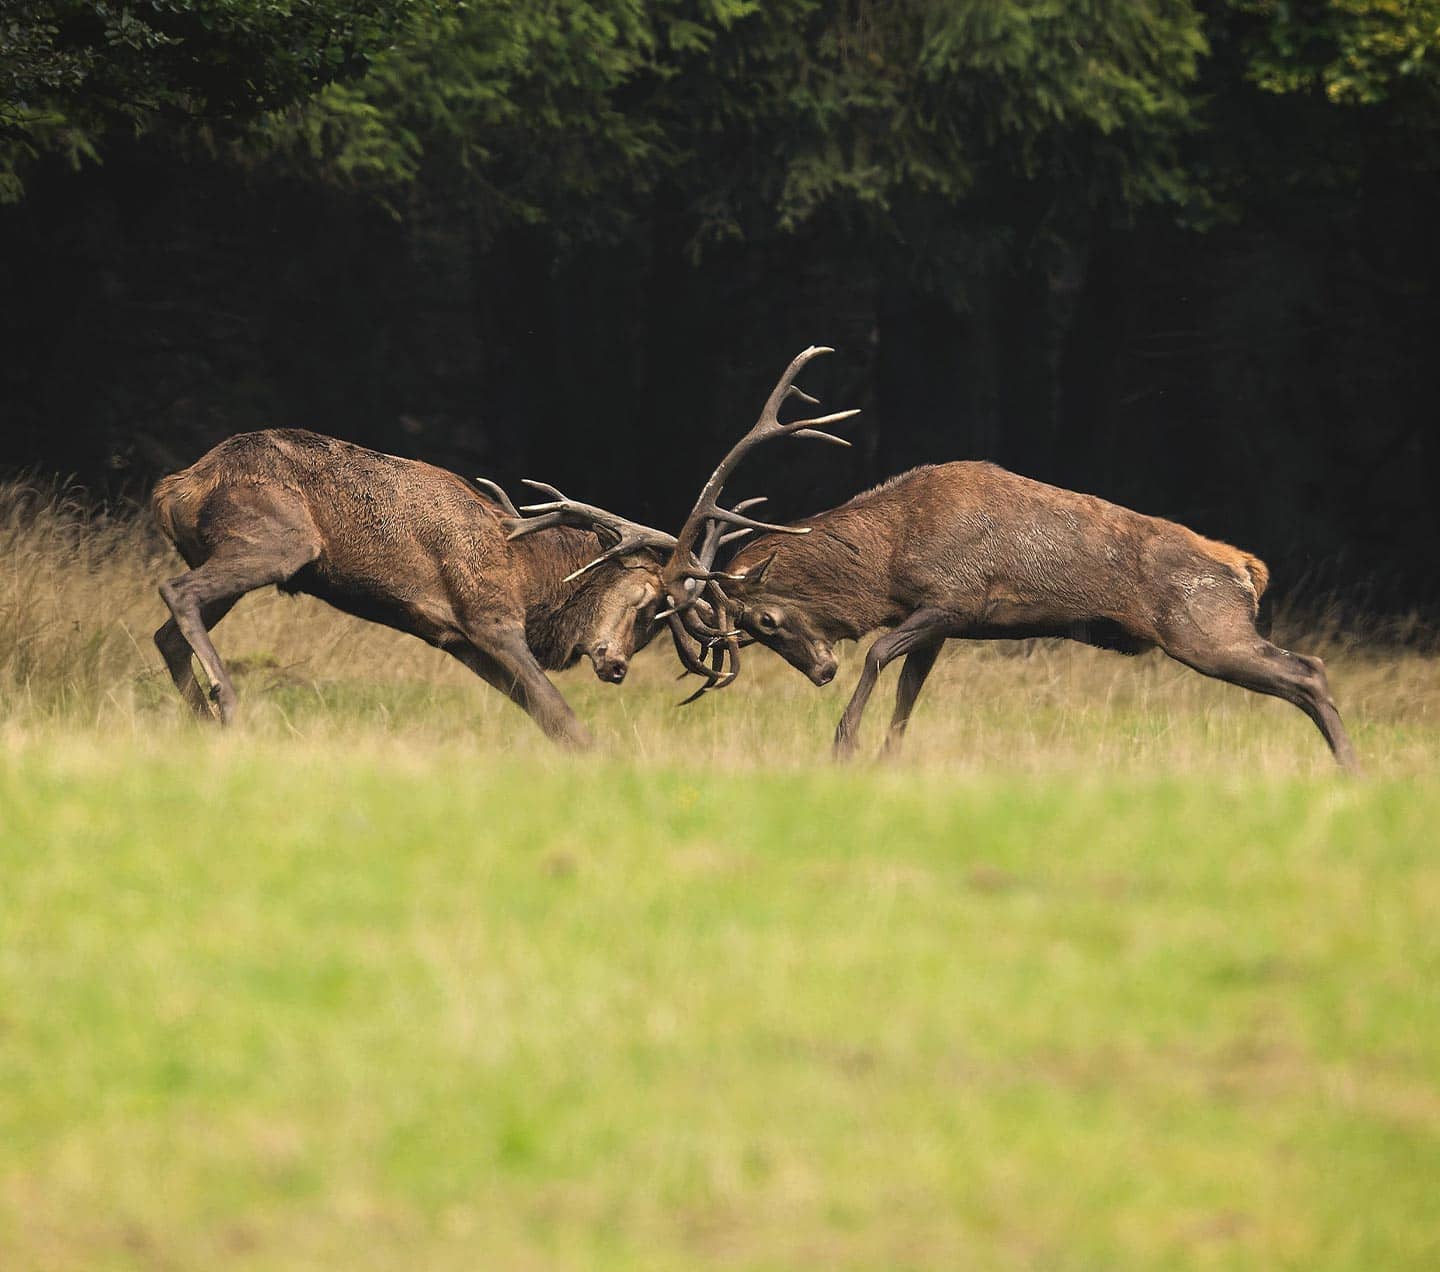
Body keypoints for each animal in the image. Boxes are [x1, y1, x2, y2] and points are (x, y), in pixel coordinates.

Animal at [150, 427, 689, 747]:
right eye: (647, 603)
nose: (617, 667)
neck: (530, 575)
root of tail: (175, 486)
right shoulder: (490, 615)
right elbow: (564, 716)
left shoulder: (457, 639)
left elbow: (544, 716)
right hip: (278, 541)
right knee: (177, 591)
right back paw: (228, 704)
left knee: (167, 633)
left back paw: (203, 720)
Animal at [660, 347, 1360, 772]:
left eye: (764, 621)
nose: (820, 671)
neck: (890, 558)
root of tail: (1247, 567)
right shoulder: (938, 623)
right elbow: (908, 696)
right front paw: (883, 760)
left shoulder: (954, 598)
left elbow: (879, 653)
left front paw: (842, 744)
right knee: (1304, 674)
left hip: (1205, 628)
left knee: (1309, 670)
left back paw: (1353, 769)